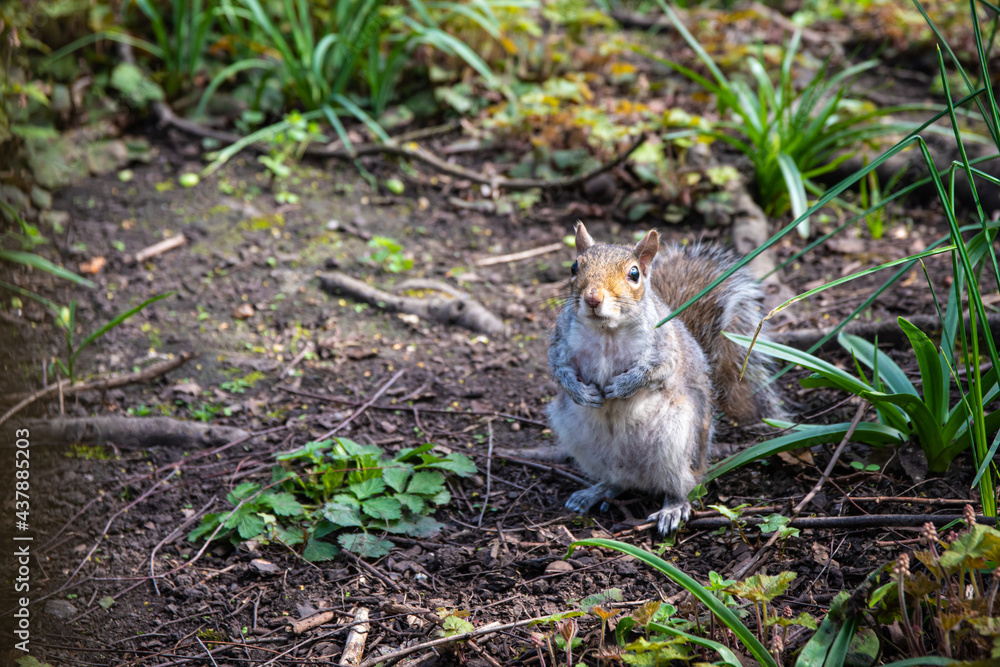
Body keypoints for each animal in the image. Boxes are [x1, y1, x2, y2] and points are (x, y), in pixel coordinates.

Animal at [543, 222, 779, 534]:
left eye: (634, 274)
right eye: (574, 266)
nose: (593, 297)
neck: (606, 332)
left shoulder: (666, 347)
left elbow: (656, 370)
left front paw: (622, 387)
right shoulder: (560, 342)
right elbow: (558, 368)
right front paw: (580, 392)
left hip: (678, 442)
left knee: (682, 484)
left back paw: (673, 508)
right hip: (581, 440)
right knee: (616, 481)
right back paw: (595, 492)